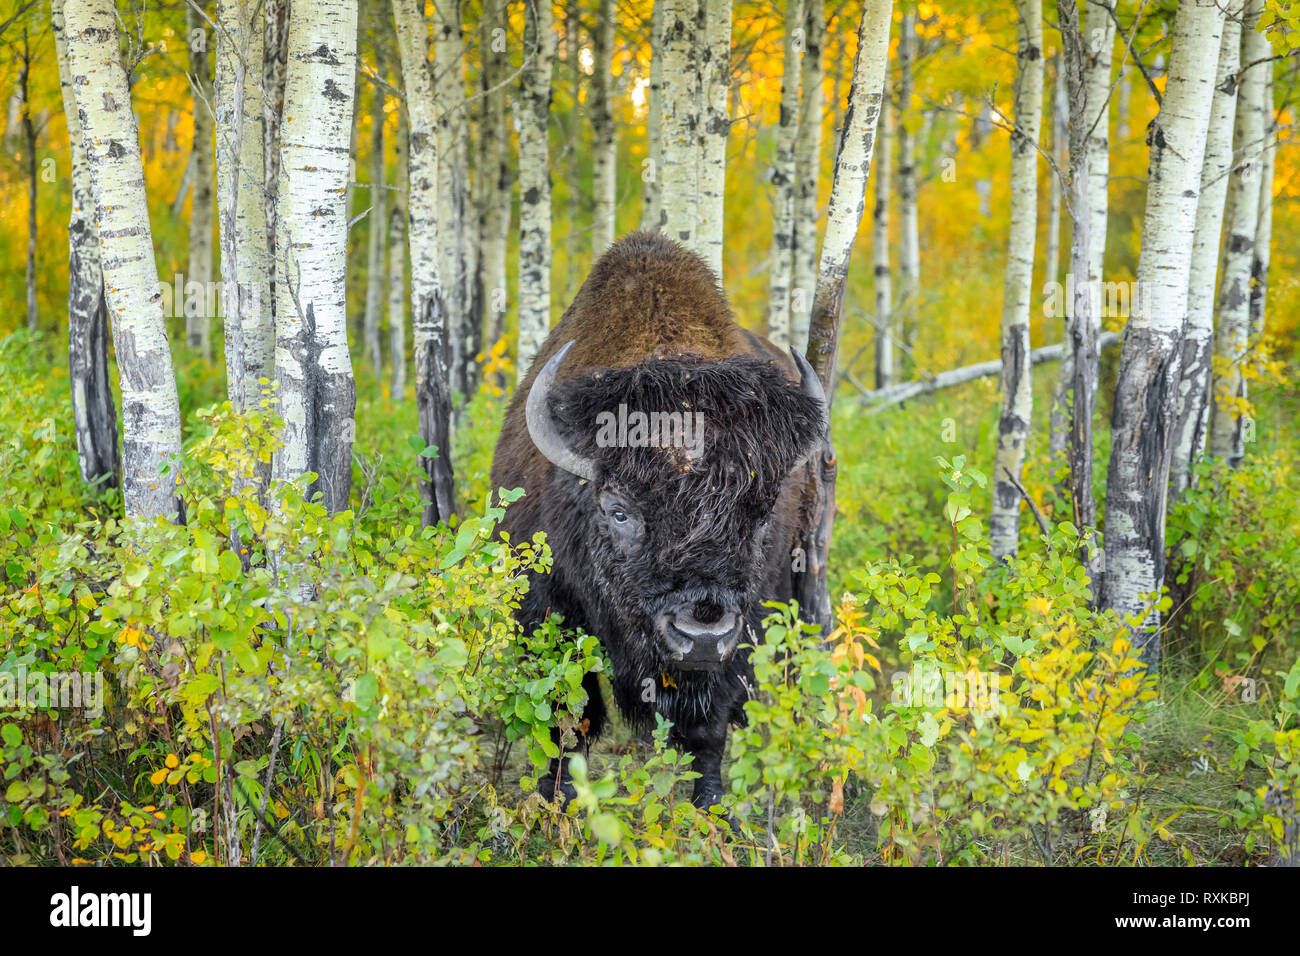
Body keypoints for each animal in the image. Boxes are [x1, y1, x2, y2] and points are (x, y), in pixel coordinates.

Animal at [491, 230, 826, 806]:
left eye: (761, 516)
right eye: (618, 511)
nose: (702, 633)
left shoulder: (742, 631)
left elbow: (709, 725)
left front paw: (712, 805)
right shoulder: (547, 608)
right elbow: (567, 716)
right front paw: (557, 799)